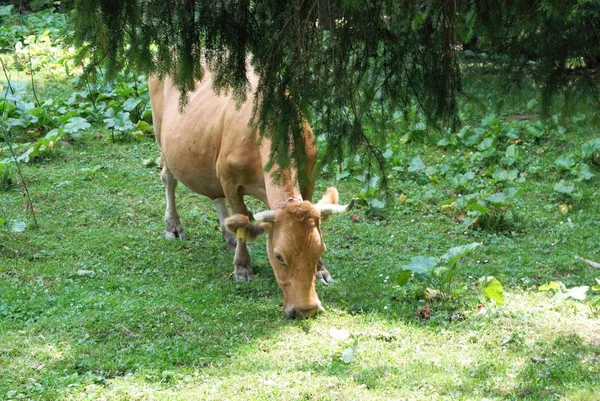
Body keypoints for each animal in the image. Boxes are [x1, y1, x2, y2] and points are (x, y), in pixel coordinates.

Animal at [149, 69, 354, 318]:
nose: (305, 310)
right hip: (162, 134)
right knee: (168, 178)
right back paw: (173, 226)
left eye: (319, 249)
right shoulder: (230, 181)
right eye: (278, 256)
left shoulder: (308, 177)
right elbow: (242, 224)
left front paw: (321, 270)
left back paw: (226, 237)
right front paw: (242, 268)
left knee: (216, 197)